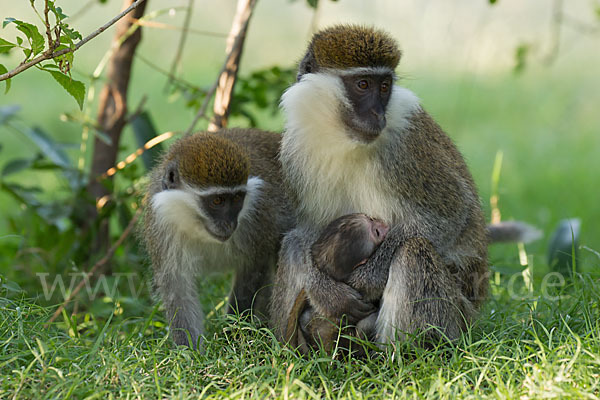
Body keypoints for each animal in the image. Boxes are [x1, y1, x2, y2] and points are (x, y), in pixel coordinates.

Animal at [139, 128, 292, 346]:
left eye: (237, 199)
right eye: (217, 201)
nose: (230, 224)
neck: (196, 225)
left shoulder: (259, 219)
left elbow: (253, 268)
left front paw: (234, 334)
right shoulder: (161, 227)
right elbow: (177, 289)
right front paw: (189, 351)